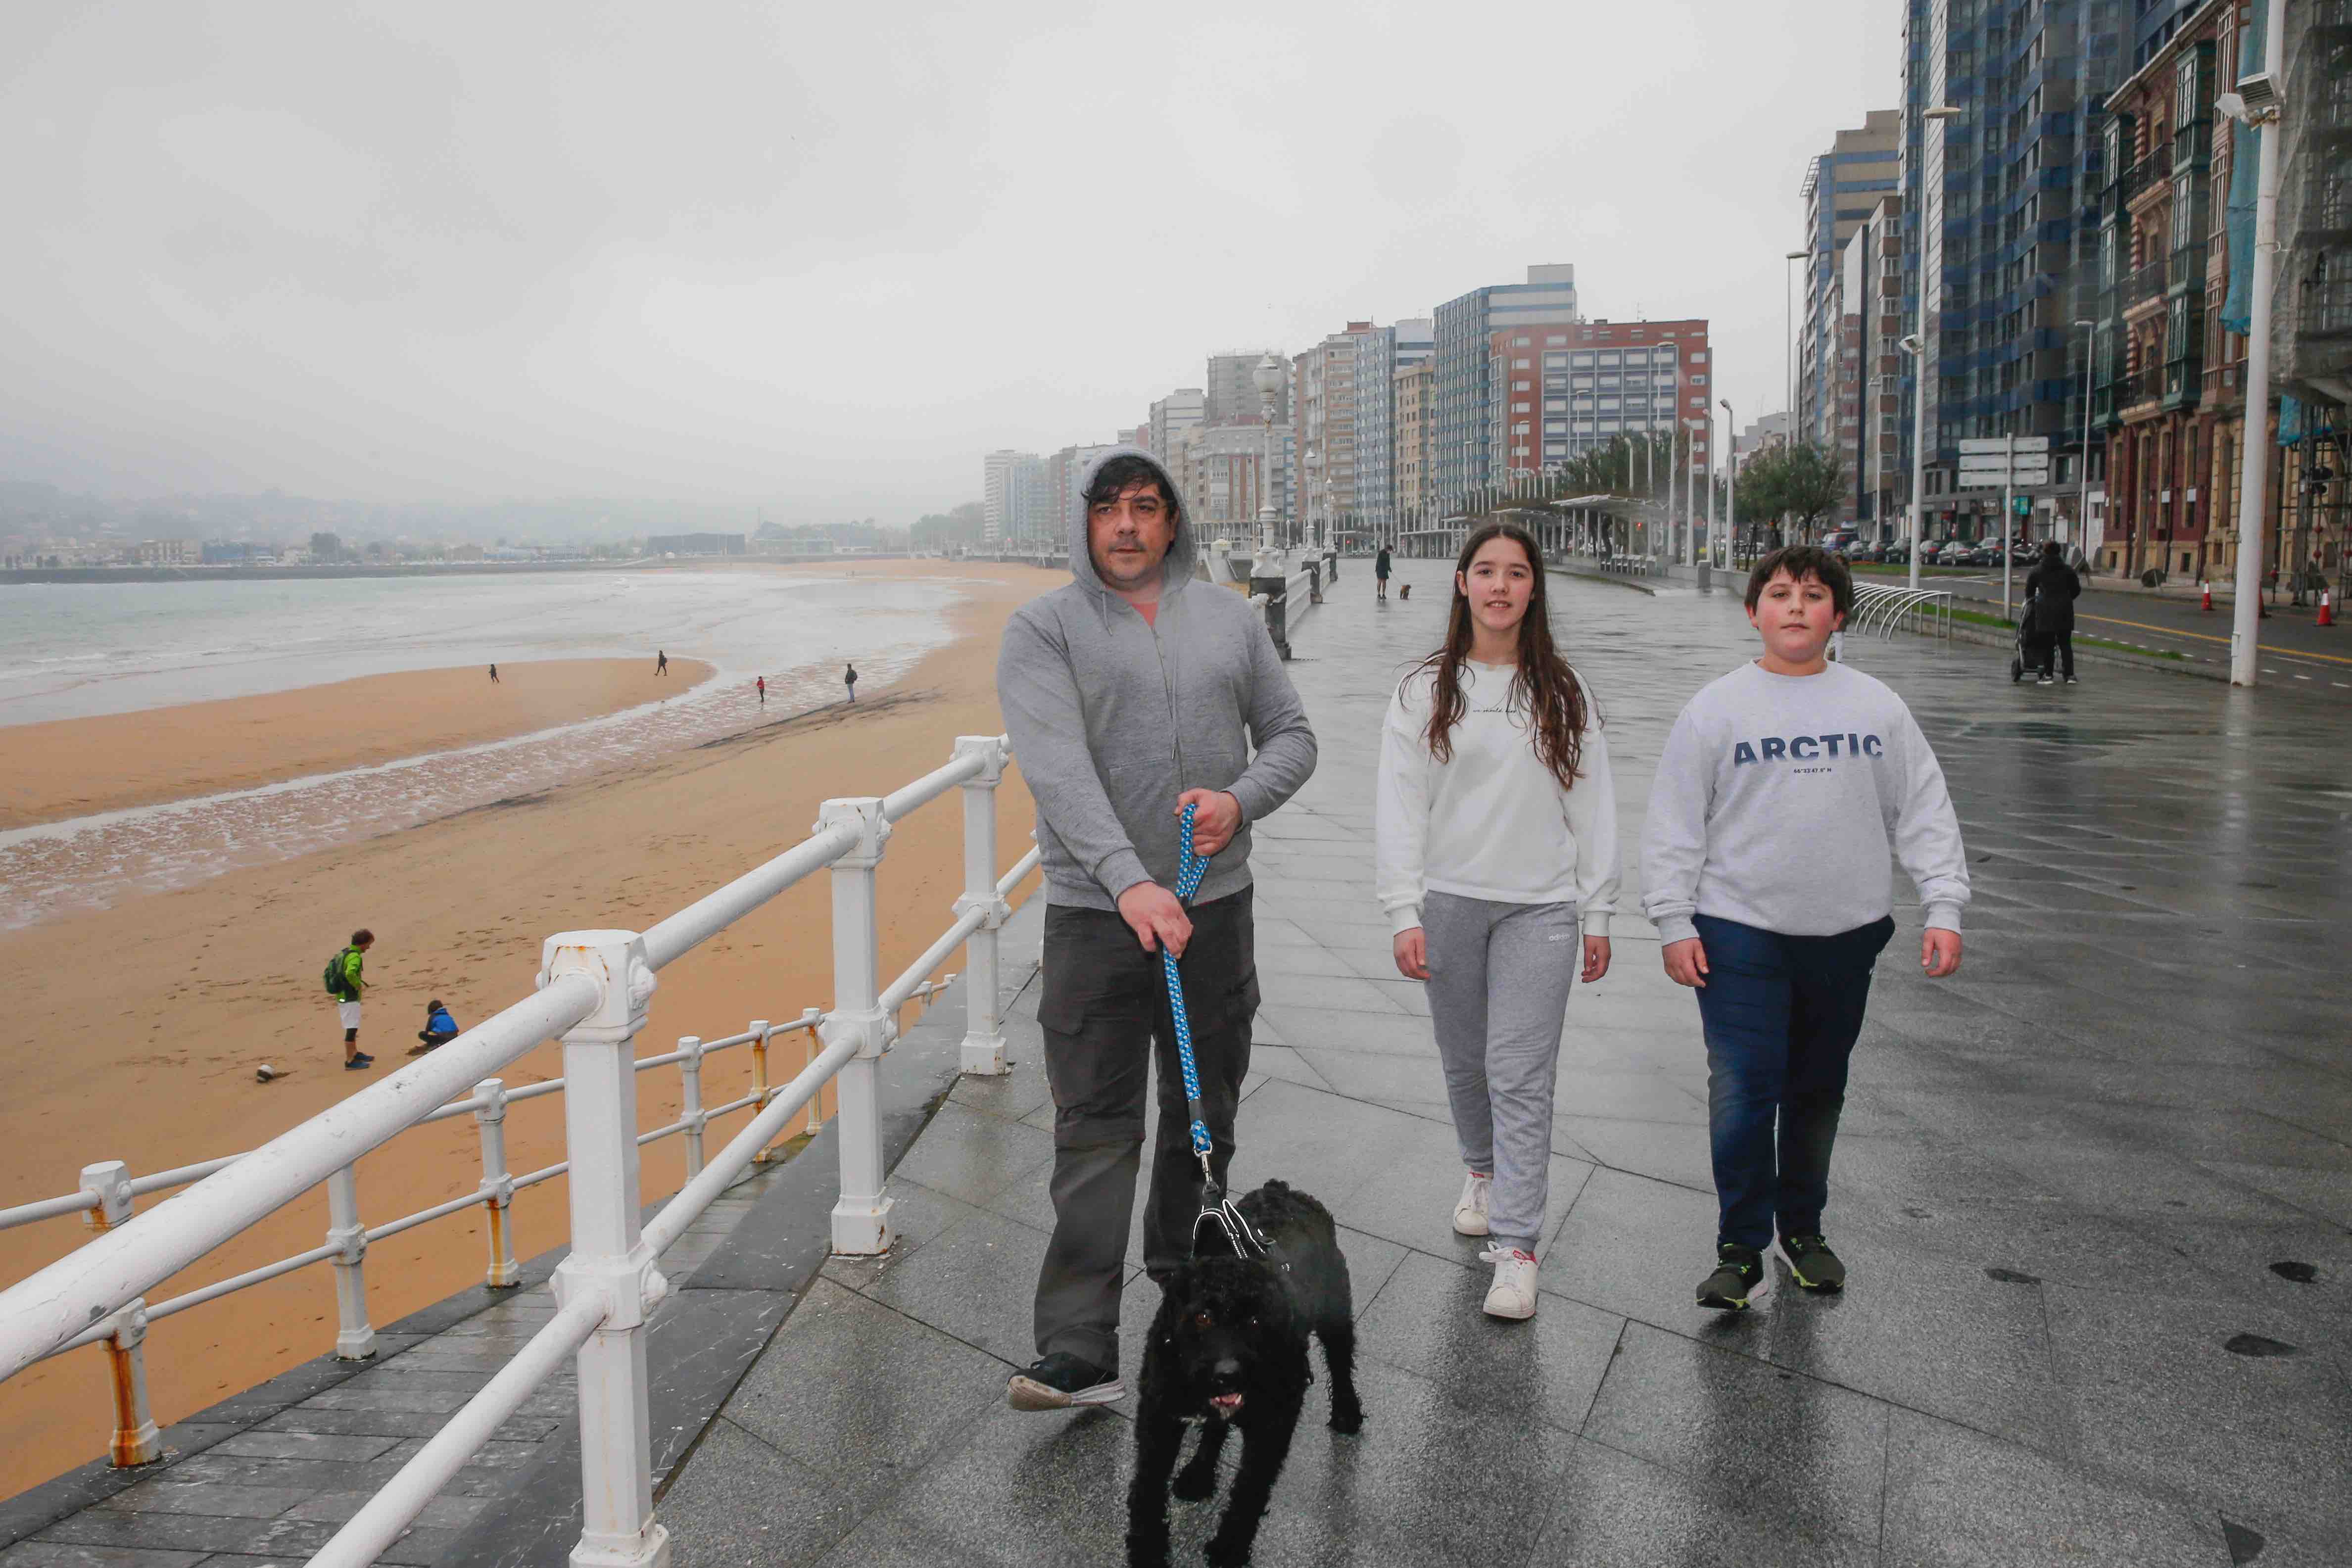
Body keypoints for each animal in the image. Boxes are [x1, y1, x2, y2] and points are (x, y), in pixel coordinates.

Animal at [1119, 1185, 1364, 1568]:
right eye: (1202, 1317)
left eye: (1255, 1320)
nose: (1228, 1375)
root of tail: (1284, 1189)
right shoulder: (1159, 1414)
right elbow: (1148, 1485)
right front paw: (1148, 1550)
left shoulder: (1272, 1424)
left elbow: (1250, 1487)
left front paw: (1230, 1547)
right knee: (1215, 1428)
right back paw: (1199, 1474)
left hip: (1335, 1310)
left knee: (1341, 1360)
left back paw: (1347, 1410)